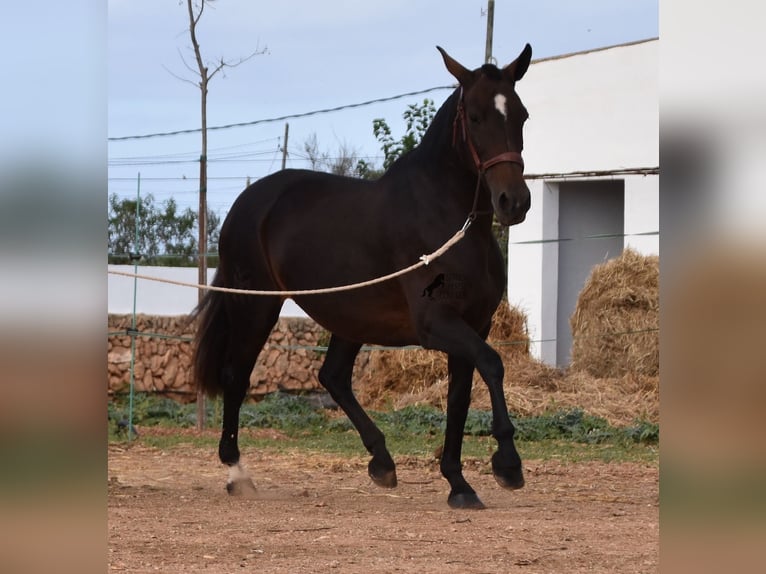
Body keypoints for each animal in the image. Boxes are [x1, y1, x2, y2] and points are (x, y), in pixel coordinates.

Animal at [194, 46, 536, 512]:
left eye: (521, 115)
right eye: (476, 116)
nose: (514, 202)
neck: (450, 221)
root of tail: (247, 201)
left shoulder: (474, 325)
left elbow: (460, 397)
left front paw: (459, 484)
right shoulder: (437, 324)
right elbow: (494, 364)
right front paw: (508, 465)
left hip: (348, 315)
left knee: (333, 377)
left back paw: (382, 461)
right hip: (256, 304)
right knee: (236, 375)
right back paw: (236, 473)